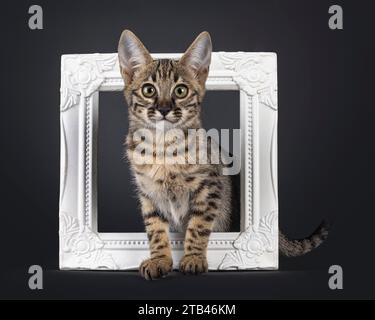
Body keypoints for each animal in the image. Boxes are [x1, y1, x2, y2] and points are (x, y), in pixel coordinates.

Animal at [118, 30, 328, 280]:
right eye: (149, 90)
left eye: (180, 90)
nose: (164, 109)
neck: (163, 147)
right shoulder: (148, 195)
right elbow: (156, 231)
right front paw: (160, 260)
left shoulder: (210, 188)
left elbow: (197, 227)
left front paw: (193, 258)